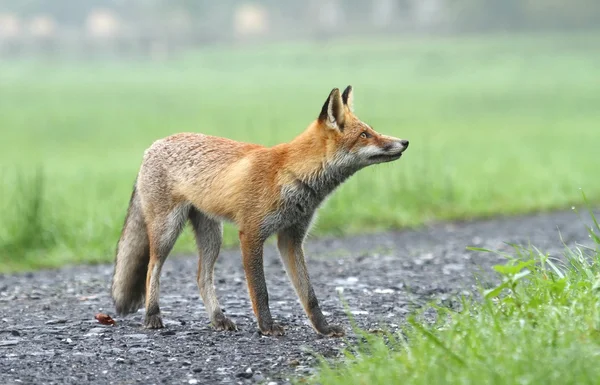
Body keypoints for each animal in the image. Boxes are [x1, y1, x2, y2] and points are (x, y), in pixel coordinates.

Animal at [110, 86, 410, 336]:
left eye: (372, 130)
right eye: (364, 135)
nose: (404, 142)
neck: (291, 176)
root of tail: (154, 145)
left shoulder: (291, 239)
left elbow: (309, 295)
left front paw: (323, 329)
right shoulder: (252, 234)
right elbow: (261, 291)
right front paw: (267, 327)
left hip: (212, 236)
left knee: (201, 277)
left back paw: (218, 319)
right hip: (167, 230)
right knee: (152, 268)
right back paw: (152, 315)